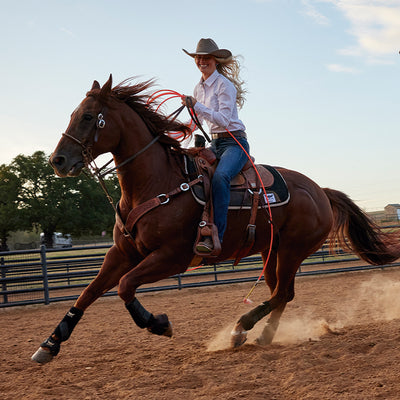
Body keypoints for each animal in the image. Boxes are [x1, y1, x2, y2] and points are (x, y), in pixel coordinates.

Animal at [32, 73, 400, 364]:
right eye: (73, 114)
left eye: (89, 117)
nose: (57, 161)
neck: (157, 182)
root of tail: (320, 190)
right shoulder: (122, 253)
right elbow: (89, 292)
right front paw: (49, 345)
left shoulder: (173, 257)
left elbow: (124, 286)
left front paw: (159, 324)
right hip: (272, 252)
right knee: (283, 294)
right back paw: (263, 336)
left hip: (293, 250)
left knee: (282, 293)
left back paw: (240, 329)